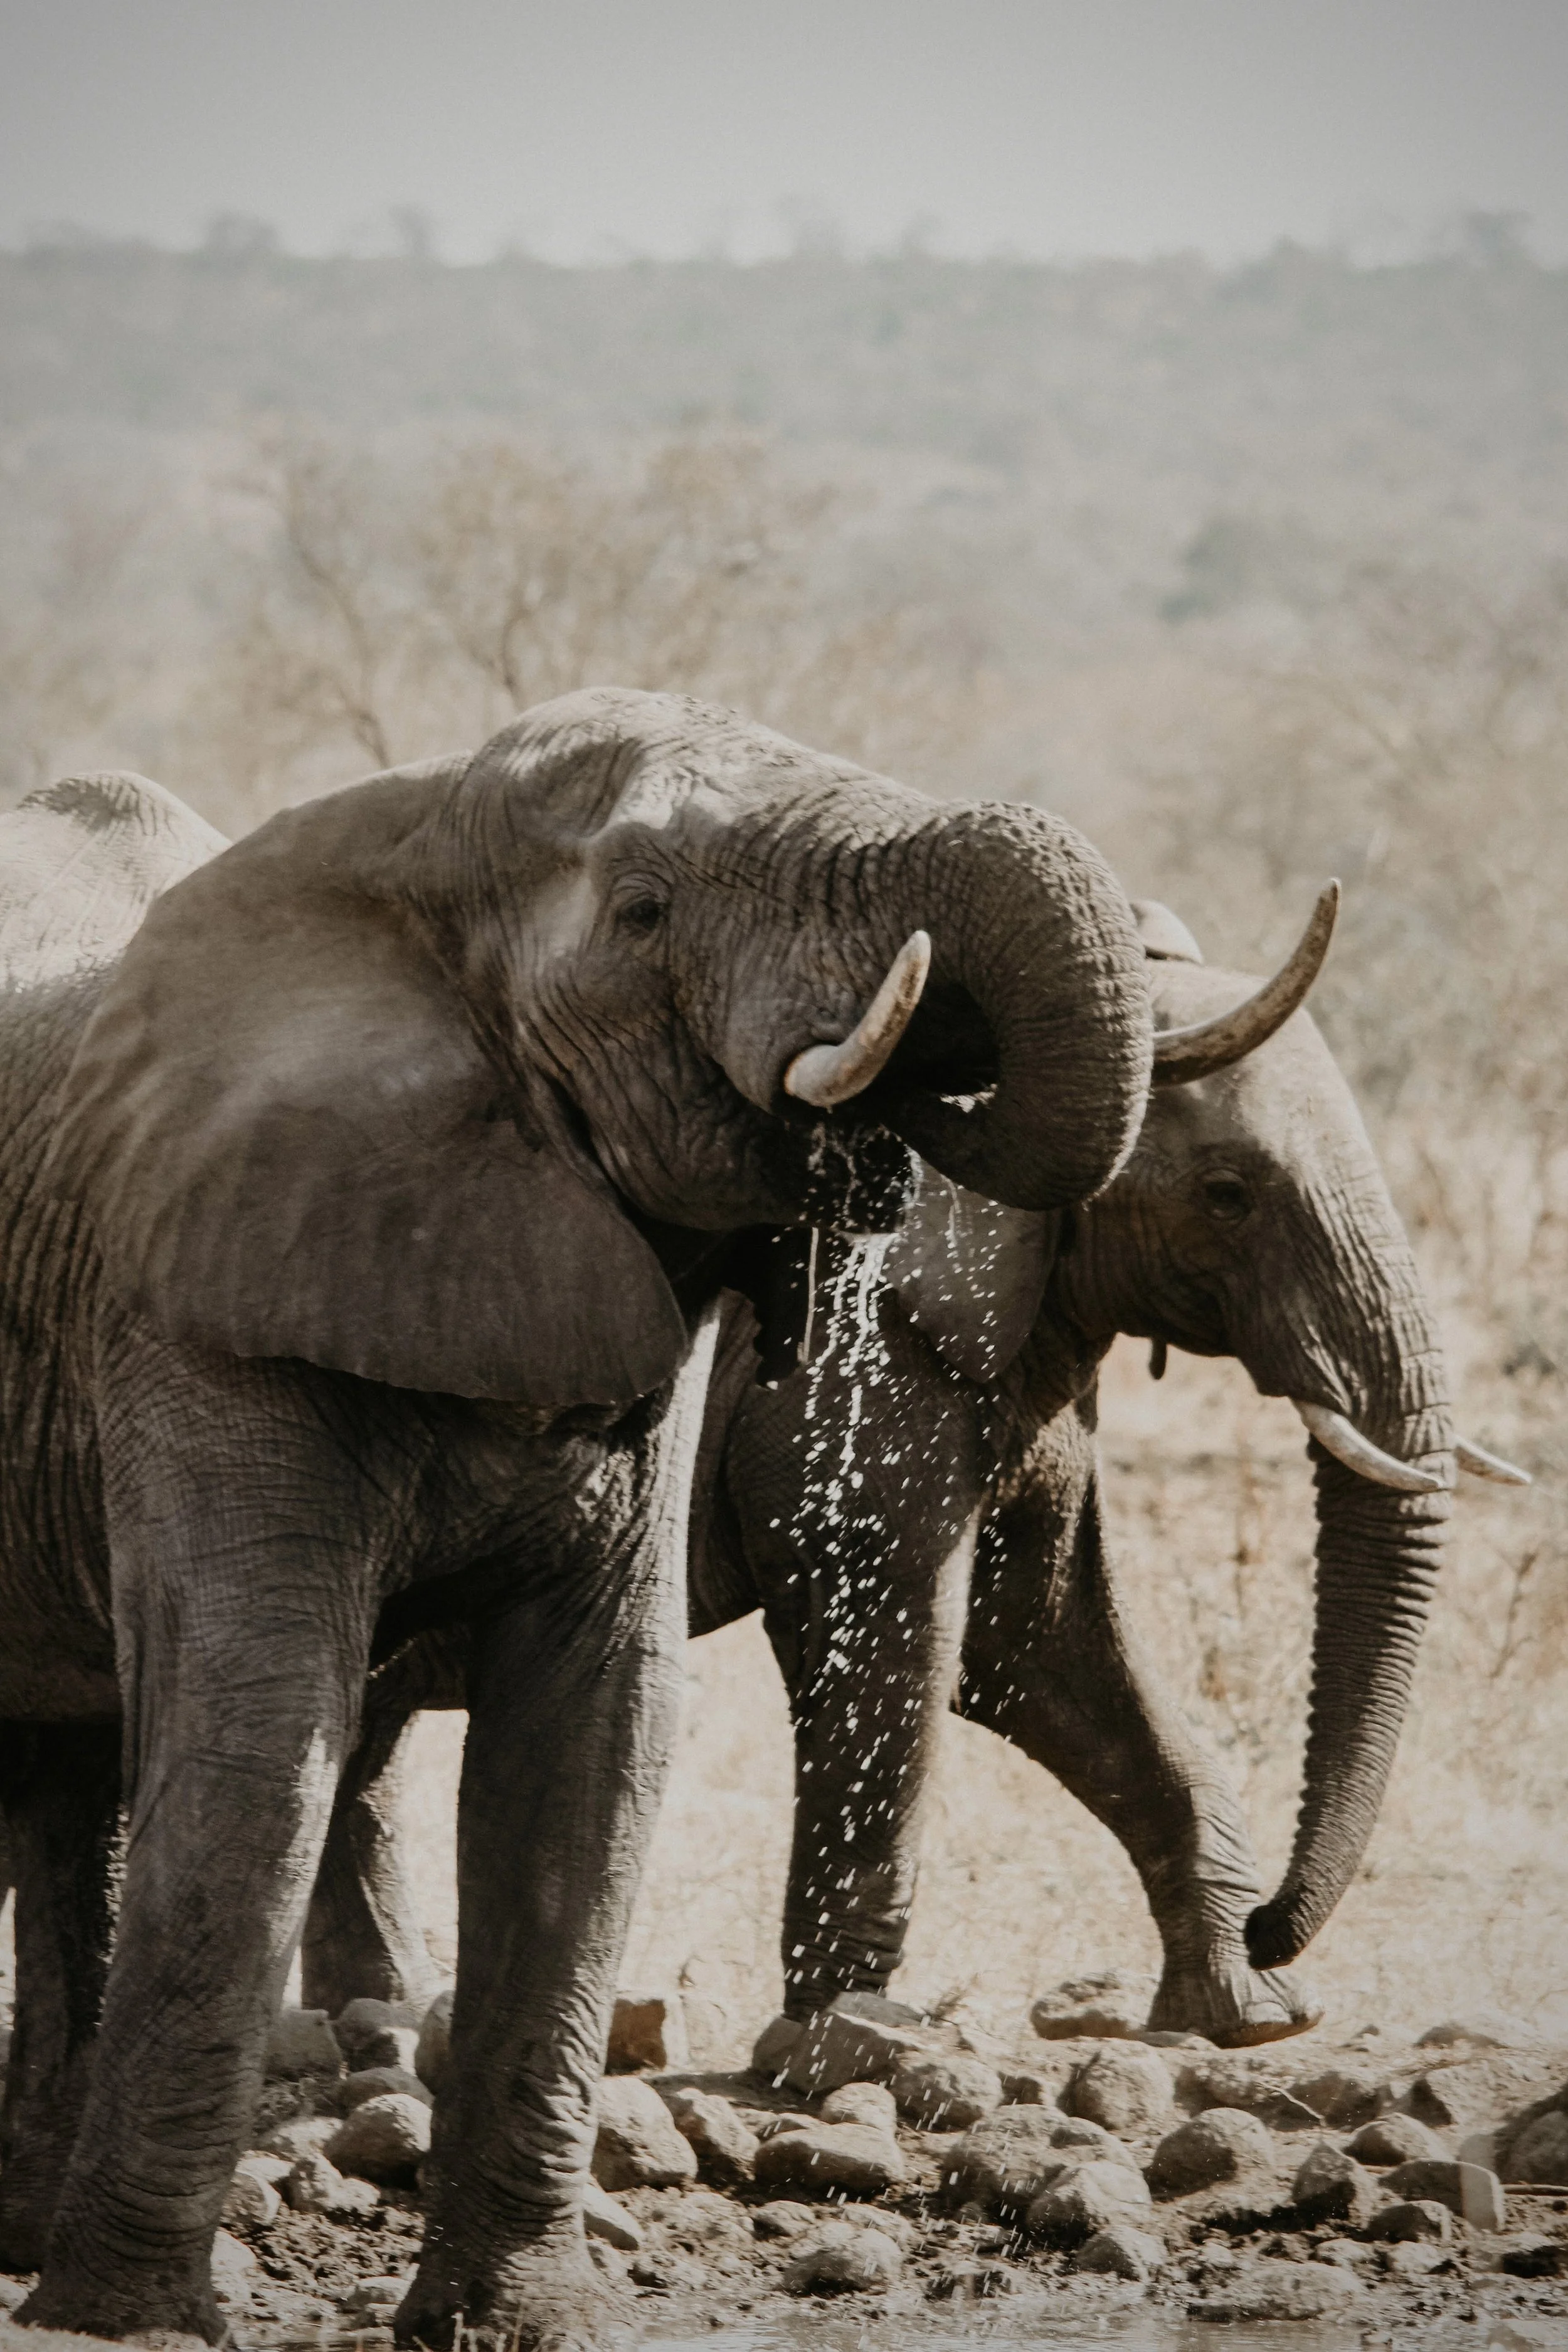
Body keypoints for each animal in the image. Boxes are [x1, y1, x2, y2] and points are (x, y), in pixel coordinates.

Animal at [0, 688, 1159, 2349]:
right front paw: (130, 2323)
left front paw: (518, 2321)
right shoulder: (189, 1300)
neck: (406, 832)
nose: (896, 1107)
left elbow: (592, 1749)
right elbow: (257, 1735)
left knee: (67, 1779)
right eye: (642, 909)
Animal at [298, 884, 1523, 2065]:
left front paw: (1249, 2016)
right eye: (1229, 1192)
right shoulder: (852, 1355)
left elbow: (1030, 1646)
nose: (1280, 1922)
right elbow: (895, 1643)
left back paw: (377, 2017)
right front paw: (836, 2045)